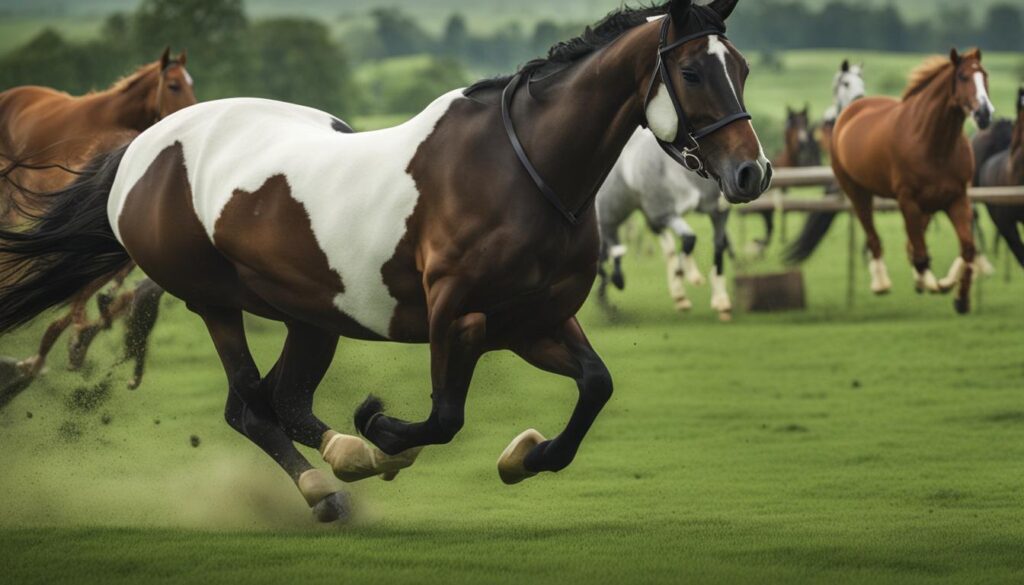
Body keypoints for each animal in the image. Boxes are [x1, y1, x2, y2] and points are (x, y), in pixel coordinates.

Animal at [596, 128, 738, 320]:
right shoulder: (664, 213)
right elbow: (689, 240)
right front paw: (683, 290)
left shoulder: (718, 212)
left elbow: (719, 248)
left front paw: (722, 302)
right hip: (615, 213)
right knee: (610, 248)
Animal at [831, 49, 994, 313]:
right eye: (962, 76)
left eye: (984, 75)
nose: (984, 114)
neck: (933, 143)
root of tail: (852, 109)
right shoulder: (908, 200)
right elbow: (920, 253)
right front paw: (933, 283)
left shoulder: (957, 198)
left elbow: (968, 248)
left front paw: (960, 297)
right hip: (857, 191)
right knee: (873, 234)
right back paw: (881, 283)